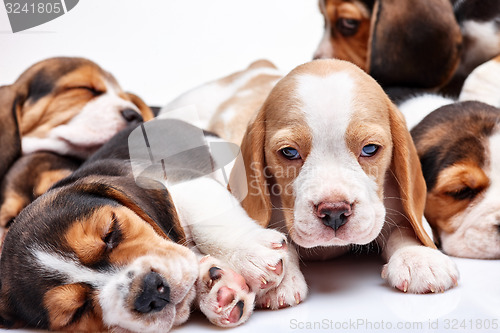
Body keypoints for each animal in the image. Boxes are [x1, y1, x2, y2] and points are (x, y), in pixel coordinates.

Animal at [162, 59, 458, 308]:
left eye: (370, 149)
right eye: (289, 152)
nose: (335, 212)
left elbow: (407, 225)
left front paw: (418, 257)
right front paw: (269, 269)